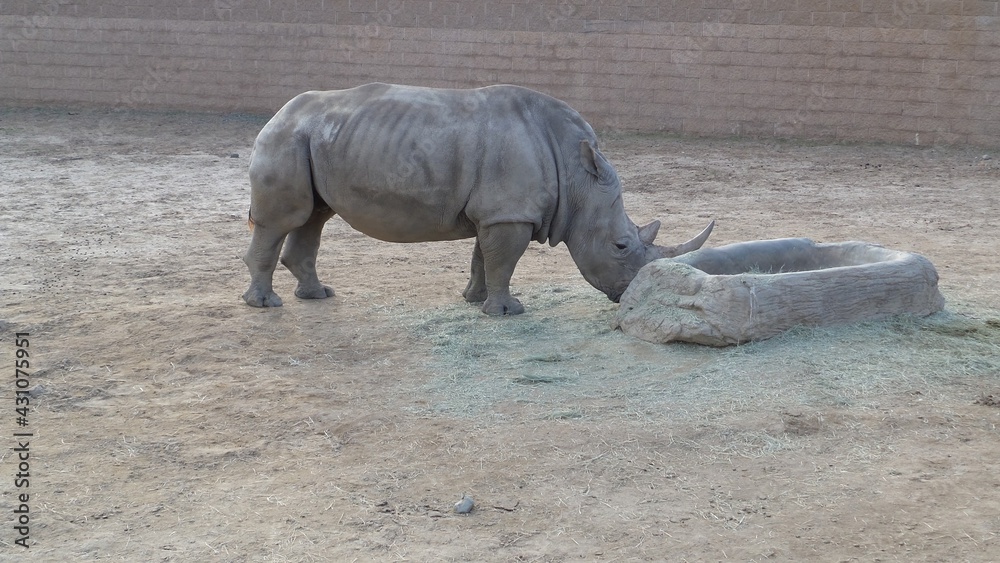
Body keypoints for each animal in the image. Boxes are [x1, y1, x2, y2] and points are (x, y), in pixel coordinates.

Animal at [242, 83, 713, 315]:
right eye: (621, 246)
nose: (629, 295)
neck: (578, 176)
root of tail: (275, 115)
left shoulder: (498, 211)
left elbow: (483, 257)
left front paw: (474, 300)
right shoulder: (509, 213)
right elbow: (504, 260)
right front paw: (506, 312)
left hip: (312, 139)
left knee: (313, 217)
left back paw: (318, 296)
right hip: (285, 138)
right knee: (282, 221)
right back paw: (266, 306)